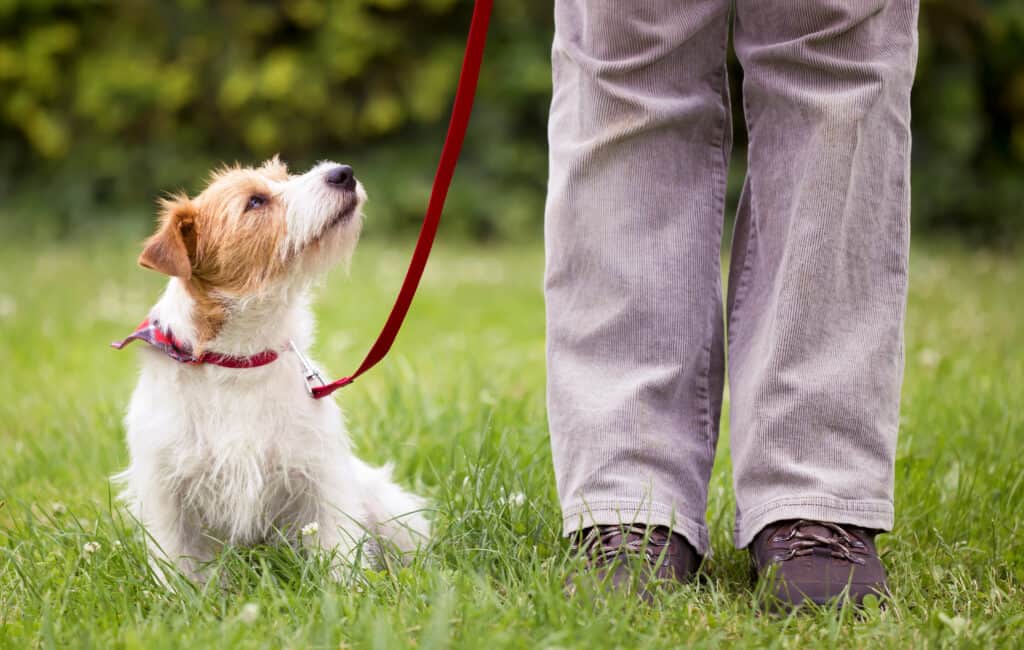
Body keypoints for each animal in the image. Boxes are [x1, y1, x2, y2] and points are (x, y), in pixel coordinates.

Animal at [114, 158, 430, 585]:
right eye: (256, 201)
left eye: (284, 177)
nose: (343, 172)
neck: (238, 361)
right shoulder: (167, 492)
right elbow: (178, 563)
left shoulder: (321, 476)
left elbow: (339, 545)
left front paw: (347, 593)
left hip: (389, 509)